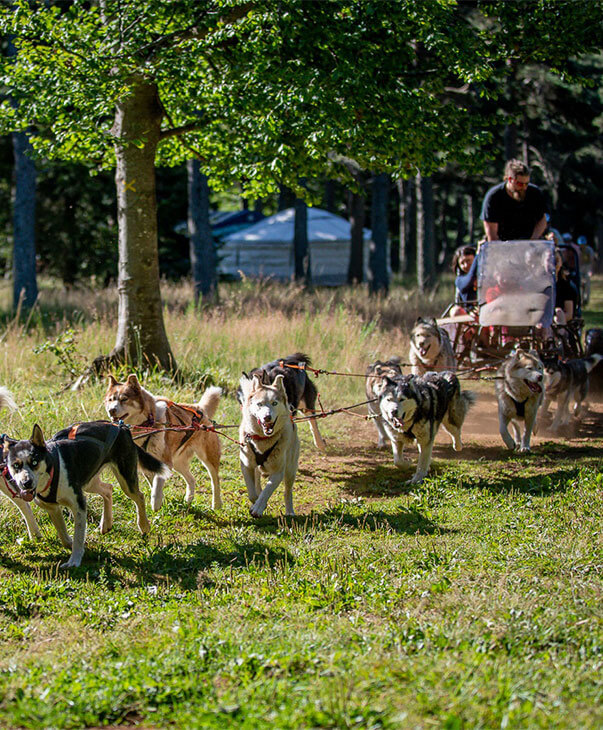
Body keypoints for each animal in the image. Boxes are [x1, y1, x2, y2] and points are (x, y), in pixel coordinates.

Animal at [2, 418, 168, 564]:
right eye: (16, 466)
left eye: (34, 462)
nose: (26, 483)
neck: (53, 469)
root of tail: (122, 428)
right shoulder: (53, 508)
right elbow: (63, 535)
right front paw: (73, 545)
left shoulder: (79, 505)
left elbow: (78, 535)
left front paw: (74, 560)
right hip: (89, 481)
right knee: (108, 489)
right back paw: (106, 523)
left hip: (125, 480)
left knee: (139, 496)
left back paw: (144, 525)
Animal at [105, 372, 223, 510]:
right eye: (111, 400)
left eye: (124, 399)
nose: (111, 410)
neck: (147, 424)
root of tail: (199, 408)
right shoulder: (149, 465)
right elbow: (154, 485)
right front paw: (160, 501)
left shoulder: (165, 461)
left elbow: (157, 484)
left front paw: (156, 503)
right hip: (178, 463)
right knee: (192, 479)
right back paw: (188, 500)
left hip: (207, 457)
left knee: (215, 480)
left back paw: (216, 504)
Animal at [238, 372, 300, 516]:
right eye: (259, 404)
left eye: (274, 403)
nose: (267, 417)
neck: (262, 439)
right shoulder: (246, 466)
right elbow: (252, 493)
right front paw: (257, 501)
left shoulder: (278, 472)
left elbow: (268, 490)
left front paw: (258, 507)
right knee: (257, 478)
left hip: (291, 469)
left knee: (288, 492)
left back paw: (289, 511)